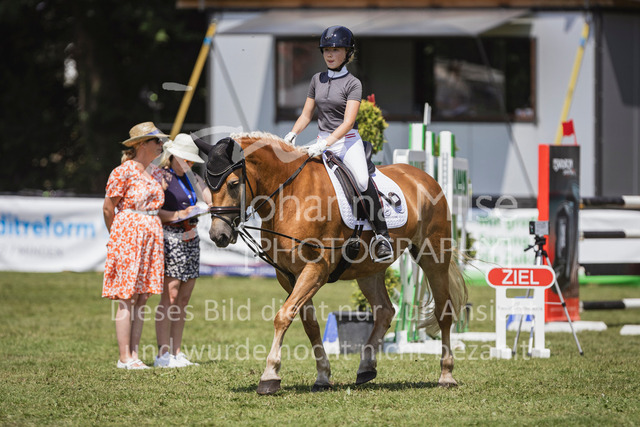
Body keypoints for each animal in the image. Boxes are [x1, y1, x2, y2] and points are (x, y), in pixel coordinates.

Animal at [198, 131, 468, 395]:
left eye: (233, 184)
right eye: (207, 187)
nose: (218, 235)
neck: (290, 195)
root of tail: (423, 176)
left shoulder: (316, 269)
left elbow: (283, 316)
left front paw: (270, 376)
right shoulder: (288, 276)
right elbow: (309, 324)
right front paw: (322, 376)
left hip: (433, 257)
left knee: (443, 312)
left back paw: (446, 375)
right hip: (368, 269)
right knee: (384, 310)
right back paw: (366, 367)